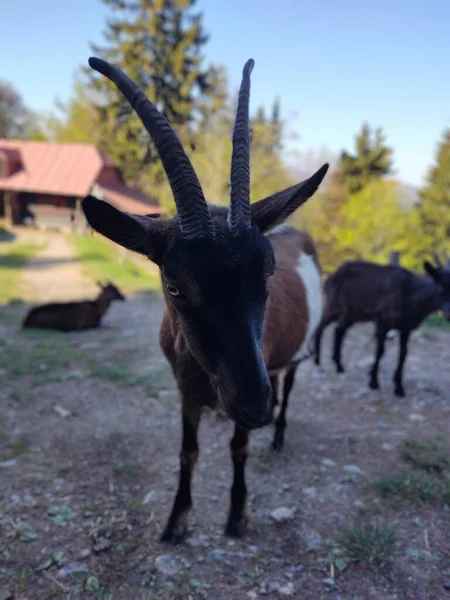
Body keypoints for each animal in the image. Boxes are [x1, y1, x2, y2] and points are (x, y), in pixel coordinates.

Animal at [80, 57, 326, 544]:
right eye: (174, 286)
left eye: (268, 273)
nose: (253, 404)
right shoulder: (185, 390)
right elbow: (187, 451)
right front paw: (177, 519)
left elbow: (238, 448)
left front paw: (236, 515)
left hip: (295, 355)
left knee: (289, 385)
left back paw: (278, 434)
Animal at [312, 255, 450, 396]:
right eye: (440, 287)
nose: (448, 314)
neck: (412, 296)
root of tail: (329, 278)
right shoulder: (382, 320)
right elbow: (380, 350)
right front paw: (373, 382)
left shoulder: (406, 327)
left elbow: (403, 353)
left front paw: (399, 387)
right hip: (334, 304)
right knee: (321, 325)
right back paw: (317, 360)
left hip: (352, 313)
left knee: (339, 330)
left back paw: (339, 366)